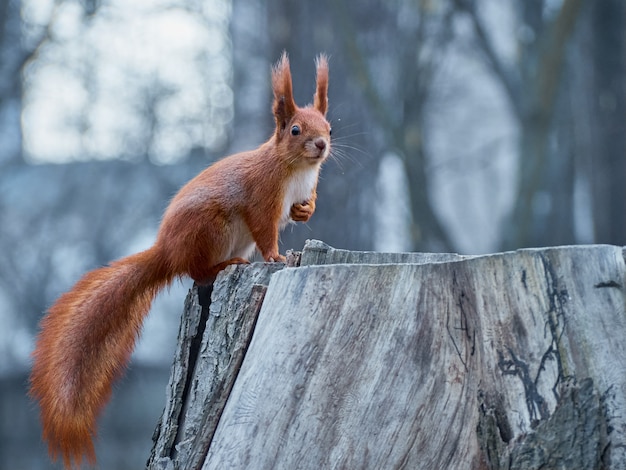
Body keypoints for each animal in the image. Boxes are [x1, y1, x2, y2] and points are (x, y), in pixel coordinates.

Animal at [28, 53, 332, 468]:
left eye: (329, 126)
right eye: (296, 130)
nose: (322, 144)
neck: (297, 170)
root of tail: (167, 252)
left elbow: (301, 210)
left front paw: (306, 211)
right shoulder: (261, 198)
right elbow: (265, 229)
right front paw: (275, 256)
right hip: (210, 229)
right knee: (198, 271)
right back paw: (225, 266)